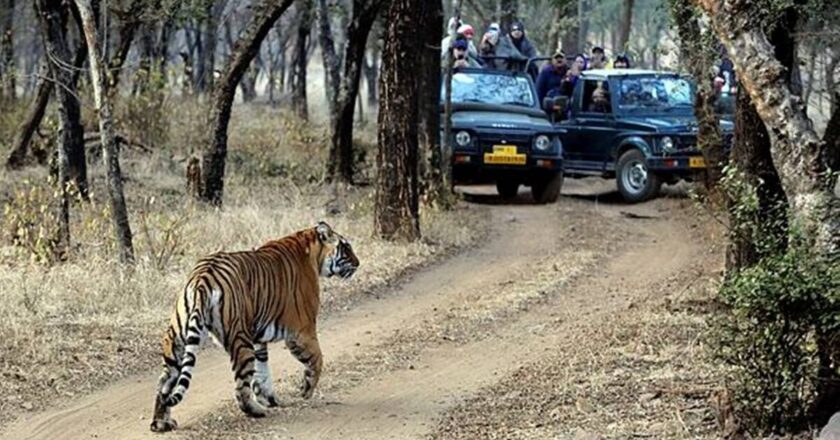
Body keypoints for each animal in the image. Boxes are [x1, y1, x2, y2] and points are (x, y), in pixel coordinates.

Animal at [149, 222, 360, 432]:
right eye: (346, 247)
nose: (358, 263)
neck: (311, 249)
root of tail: (202, 277)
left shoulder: (259, 337)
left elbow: (263, 370)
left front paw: (270, 398)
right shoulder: (302, 331)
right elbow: (317, 358)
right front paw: (306, 390)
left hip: (177, 339)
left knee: (164, 383)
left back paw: (161, 423)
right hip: (241, 340)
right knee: (241, 386)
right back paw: (256, 411)